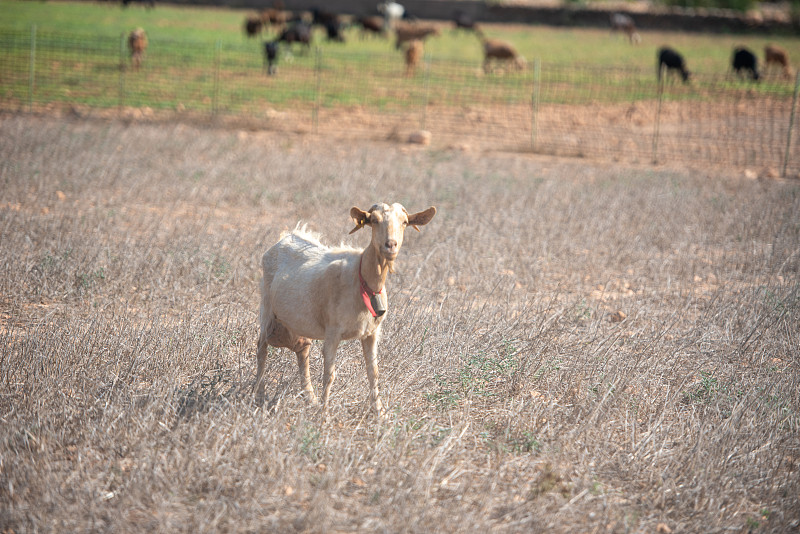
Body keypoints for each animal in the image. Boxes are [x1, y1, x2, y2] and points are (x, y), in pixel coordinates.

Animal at [255, 203, 438, 416]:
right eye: (374, 220)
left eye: (405, 222)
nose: (390, 245)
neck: (362, 280)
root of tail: (286, 237)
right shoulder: (333, 331)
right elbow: (329, 374)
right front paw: (324, 414)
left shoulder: (372, 332)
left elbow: (373, 371)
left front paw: (379, 412)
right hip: (267, 310)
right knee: (261, 348)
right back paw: (258, 394)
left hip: (299, 324)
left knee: (302, 350)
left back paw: (310, 398)